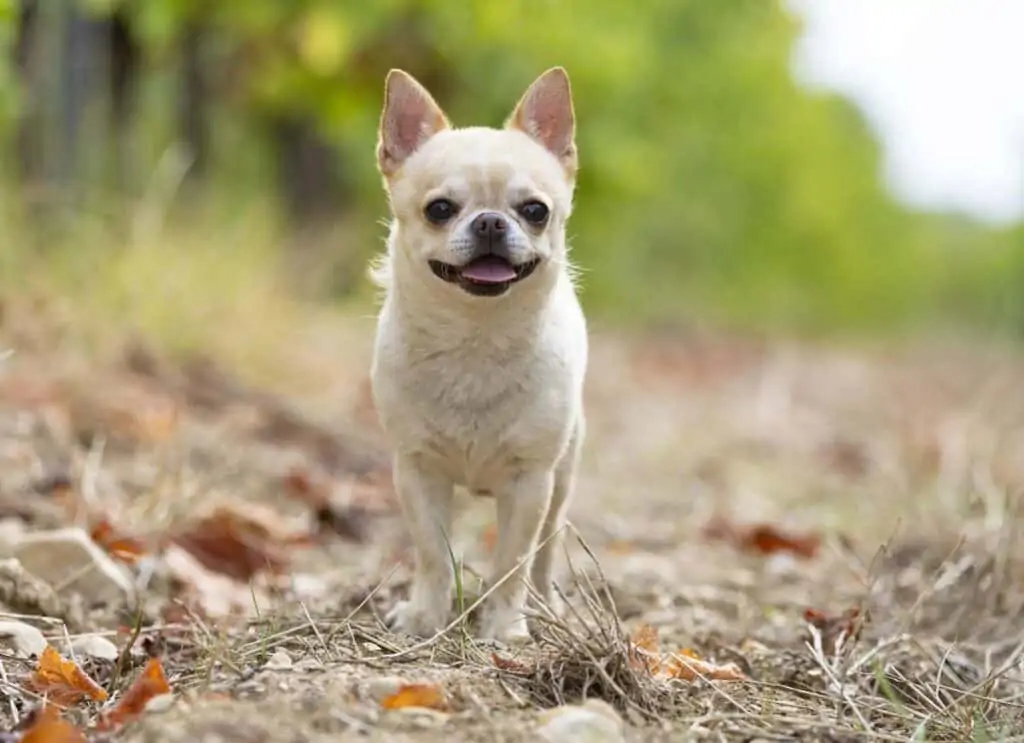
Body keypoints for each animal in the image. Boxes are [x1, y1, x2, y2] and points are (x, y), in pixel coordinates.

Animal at [372, 67, 589, 642]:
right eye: (439, 210)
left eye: (535, 211)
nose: (490, 221)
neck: (477, 339)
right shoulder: (417, 472)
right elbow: (432, 554)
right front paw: (424, 617)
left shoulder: (530, 482)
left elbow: (512, 562)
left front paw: (504, 627)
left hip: (562, 480)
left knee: (546, 551)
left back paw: (545, 605)